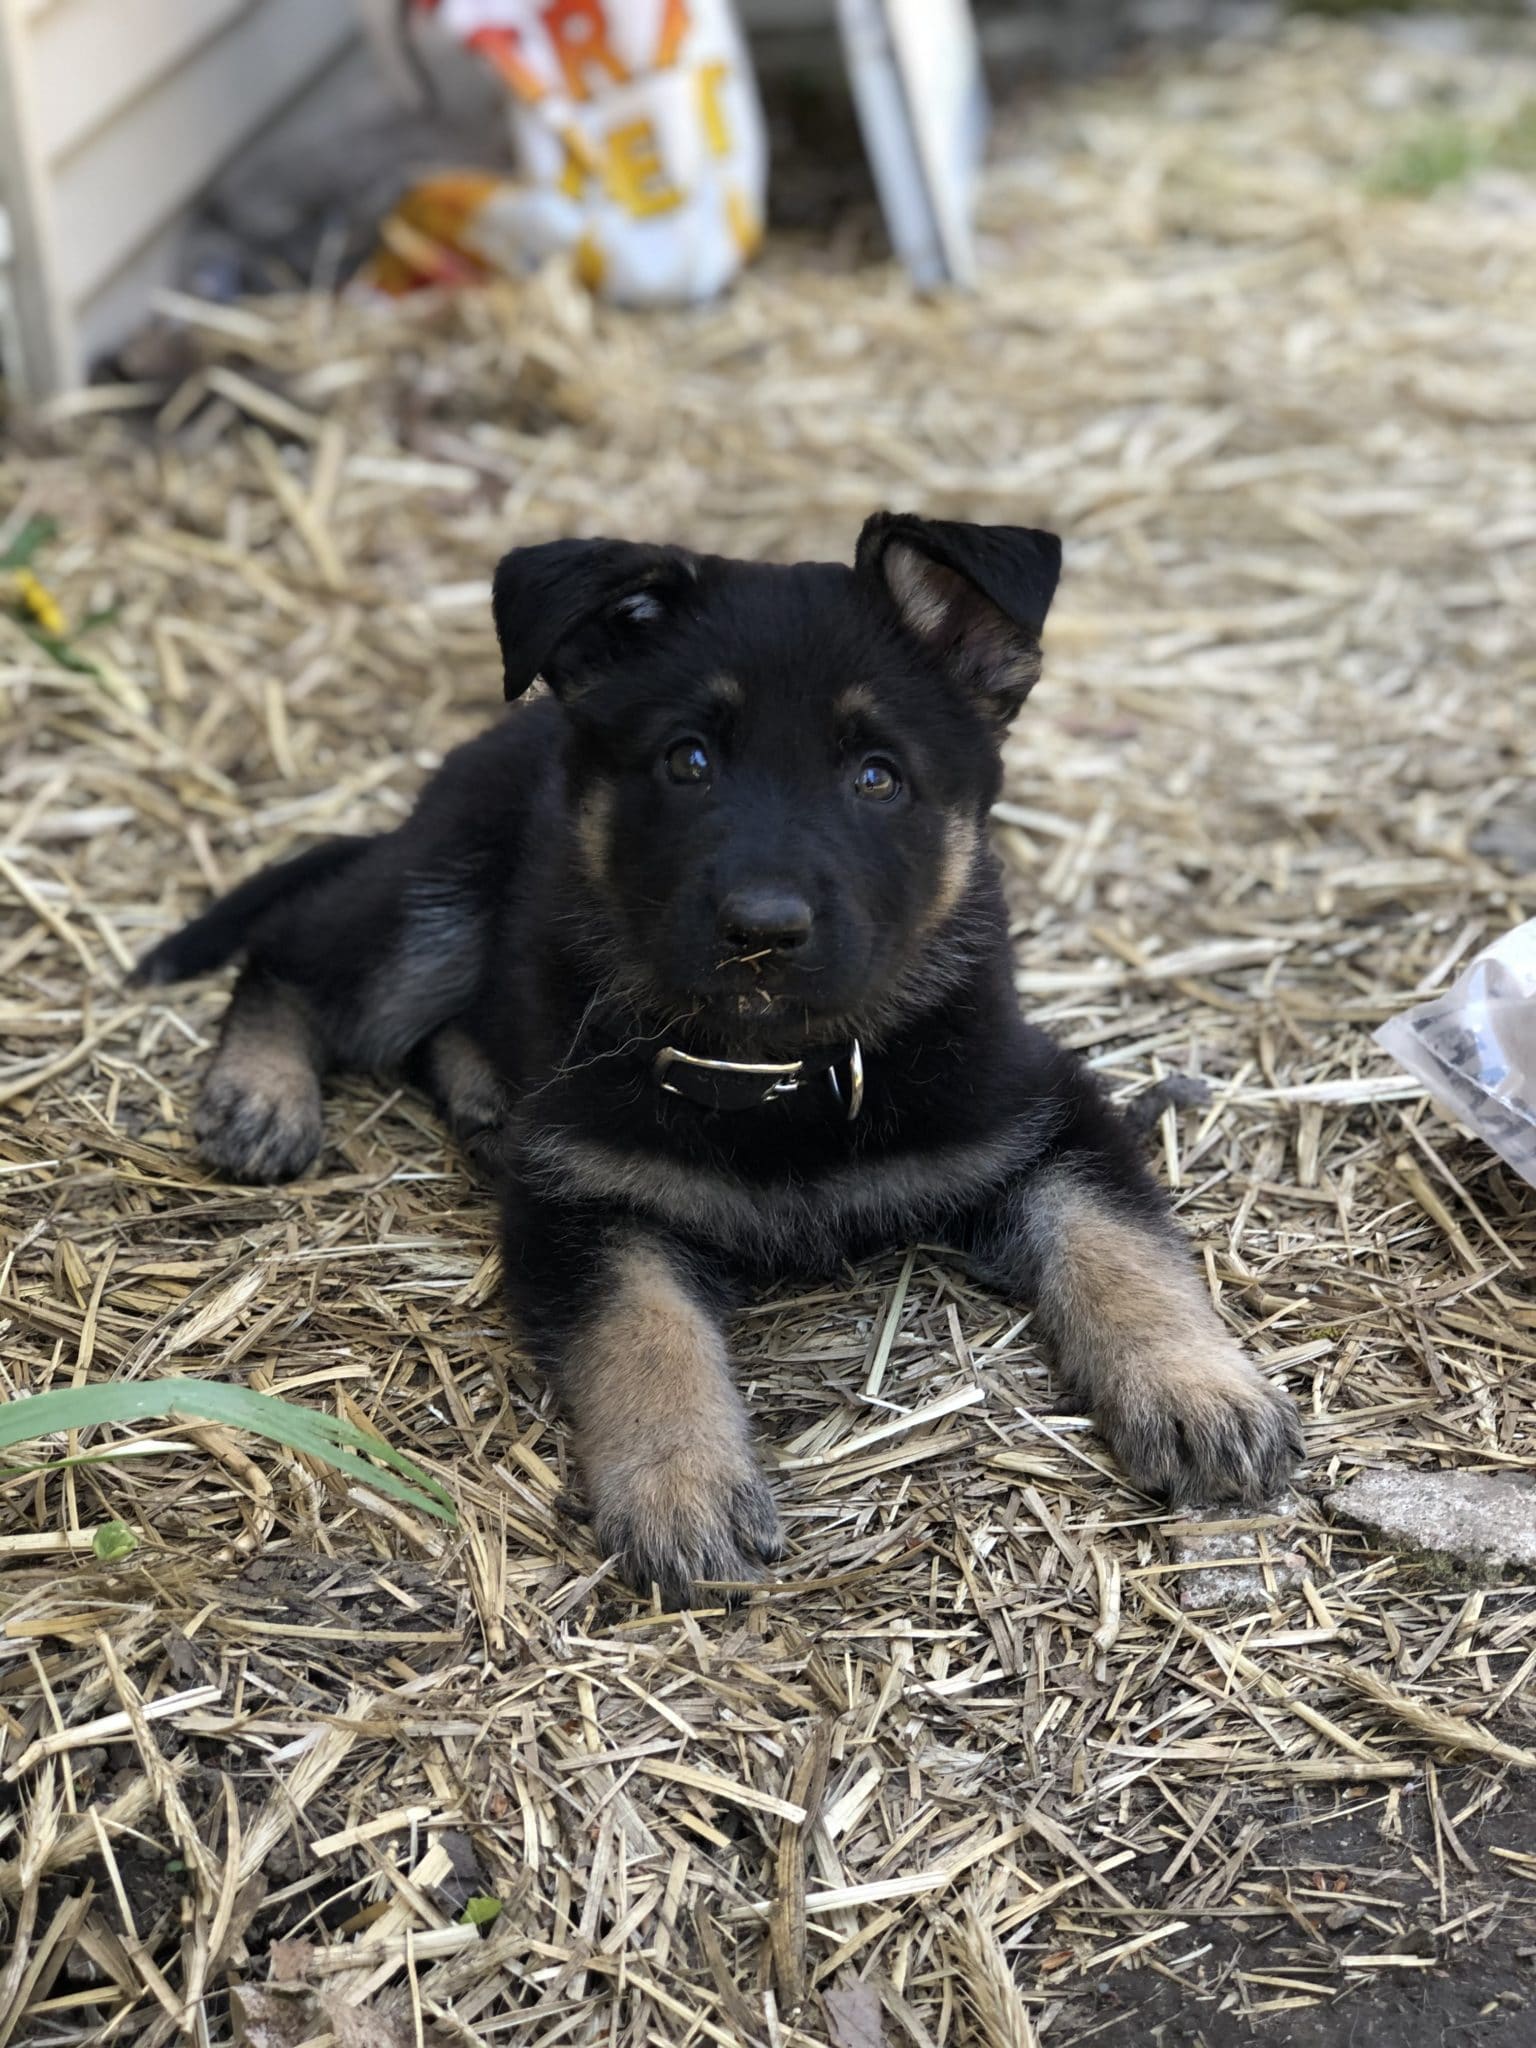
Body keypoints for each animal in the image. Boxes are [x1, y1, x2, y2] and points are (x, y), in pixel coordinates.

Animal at [138, 512, 1302, 1597]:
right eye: (687, 761)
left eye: (878, 777)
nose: (762, 929)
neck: (780, 1074)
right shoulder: (587, 1197)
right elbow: (643, 1331)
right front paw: (680, 1484)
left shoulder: (1042, 1104)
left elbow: (1118, 1240)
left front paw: (1197, 1388)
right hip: (433, 906)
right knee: (296, 956)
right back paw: (260, 1093)